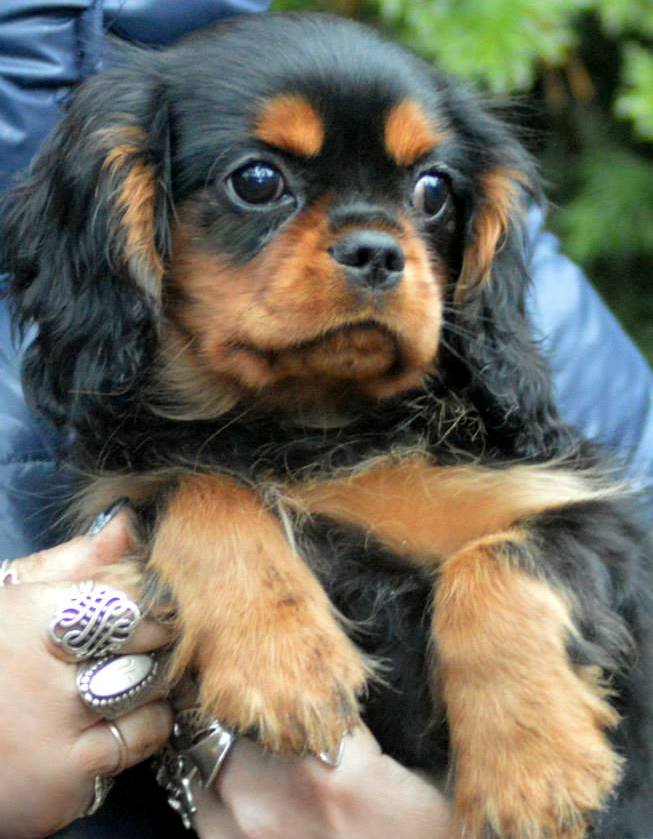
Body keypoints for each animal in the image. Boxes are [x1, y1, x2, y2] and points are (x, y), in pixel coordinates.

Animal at [2, 12, 652, 838]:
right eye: (256, 181)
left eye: (432, 189)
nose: (376, 252)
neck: (312, 424)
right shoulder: (125, 488)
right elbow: (203, 487)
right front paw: (282, 663)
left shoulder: (590, 518)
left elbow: (496, 563)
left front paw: (534, 771)